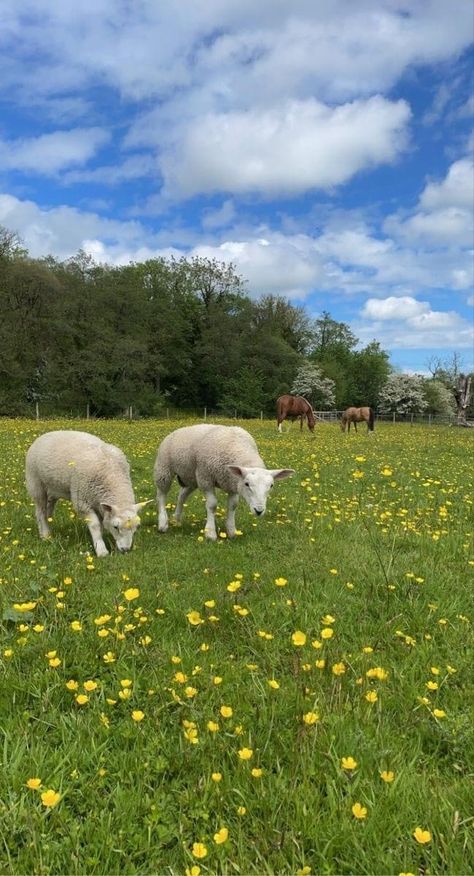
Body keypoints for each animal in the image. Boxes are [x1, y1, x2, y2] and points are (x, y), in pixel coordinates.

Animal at [154, 424, 294, 540]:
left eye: (271, 485)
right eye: (247, 484)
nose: (259, 511)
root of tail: (176, 431)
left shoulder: (233, 483)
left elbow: (233, 505)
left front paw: (232, 531)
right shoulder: (205, 479)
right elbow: (212, 505)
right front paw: (210, 533)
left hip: (191, 477)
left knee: (182, 495)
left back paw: (176, 520)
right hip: (164, 469)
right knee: (161, 495)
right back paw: (163, 523)